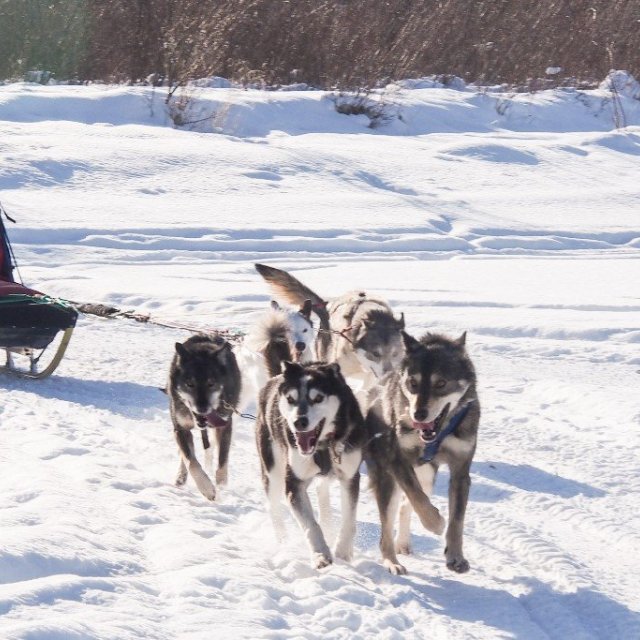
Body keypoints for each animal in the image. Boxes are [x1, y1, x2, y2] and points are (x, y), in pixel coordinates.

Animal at [169, 332, 241, 502]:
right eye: (190, 384)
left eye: (211, 383)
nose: (202, 408)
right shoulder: (180, 429)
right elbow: (191, 461)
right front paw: (207, 488)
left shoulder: (225, 426)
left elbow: (222, 461)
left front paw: (221, 486)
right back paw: (181, 477)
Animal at [255, 360, 364, 568]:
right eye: (291, 399)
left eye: (318, 398)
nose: (299, 422)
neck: (323, 446)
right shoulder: (294, 484)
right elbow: (310, 524)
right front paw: (321, 554)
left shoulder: (350, 477)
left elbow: (349, 519)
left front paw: (343, 551)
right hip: (273, 472)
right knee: (272, 506)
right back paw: (283, 540)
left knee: (323, 494)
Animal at [364, 330, 480, 576]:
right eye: (413, 383)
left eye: (441, 383)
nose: (418, 414)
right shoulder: (397, 460)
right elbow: (417, 499)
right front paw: (435, 523)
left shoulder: (461, 471)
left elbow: (456, 521)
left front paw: (456, 557)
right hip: (387, 477)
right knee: (388, 525)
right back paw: (391, 560)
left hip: (426, 476)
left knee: (407, 506)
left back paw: (403, 544)